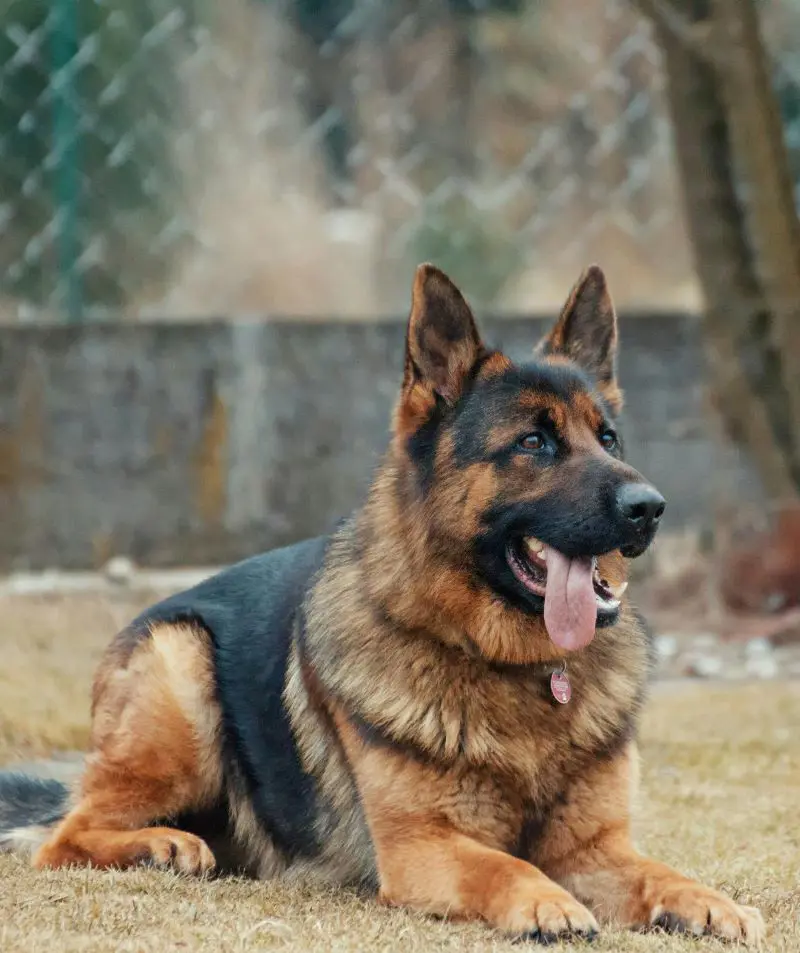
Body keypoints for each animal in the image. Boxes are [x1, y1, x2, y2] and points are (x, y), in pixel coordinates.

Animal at [0, 264, 764, 945]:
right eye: (534, 442)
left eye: (607, 439)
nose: (650, 507)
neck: (517, 668)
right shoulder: (422, 847)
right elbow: (504, 865)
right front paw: (545, 902)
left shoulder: (597, 850)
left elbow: (663, 872)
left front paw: (711, 901)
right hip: (181, 665)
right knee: (63, 835)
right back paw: (162, 843)